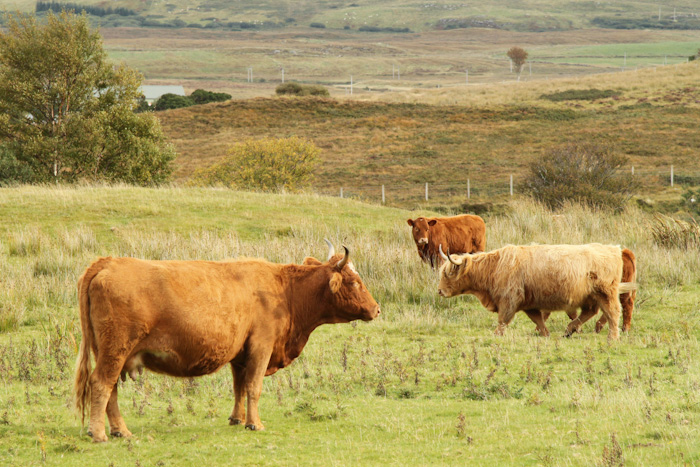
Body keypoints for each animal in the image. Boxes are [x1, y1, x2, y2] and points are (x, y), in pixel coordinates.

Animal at [73, 241, 380, 443]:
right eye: (354, 282)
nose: (377, 309)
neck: (286, 290)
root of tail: (108, 262)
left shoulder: (240, 354)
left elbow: (239, 387)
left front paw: (237, 419)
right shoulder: (261, 346)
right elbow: (254, 387)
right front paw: (255, 424)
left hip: (110, 353)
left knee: (110, 389)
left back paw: (119, 430)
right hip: (116, 350)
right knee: (101, 384)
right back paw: (100, 433)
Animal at [437, 243, 637, 341]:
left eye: (447, 273)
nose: (439, 291)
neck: (494, 268)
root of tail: (615, 249)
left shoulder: (509, 299)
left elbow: (503, 320)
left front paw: (496, 335)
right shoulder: (528, 303)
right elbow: (538, 320)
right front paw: (545, 334)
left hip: (605, 293)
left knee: (613, 312)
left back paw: (613, 336)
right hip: (591, 296)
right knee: (590, 312)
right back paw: (569, 330)